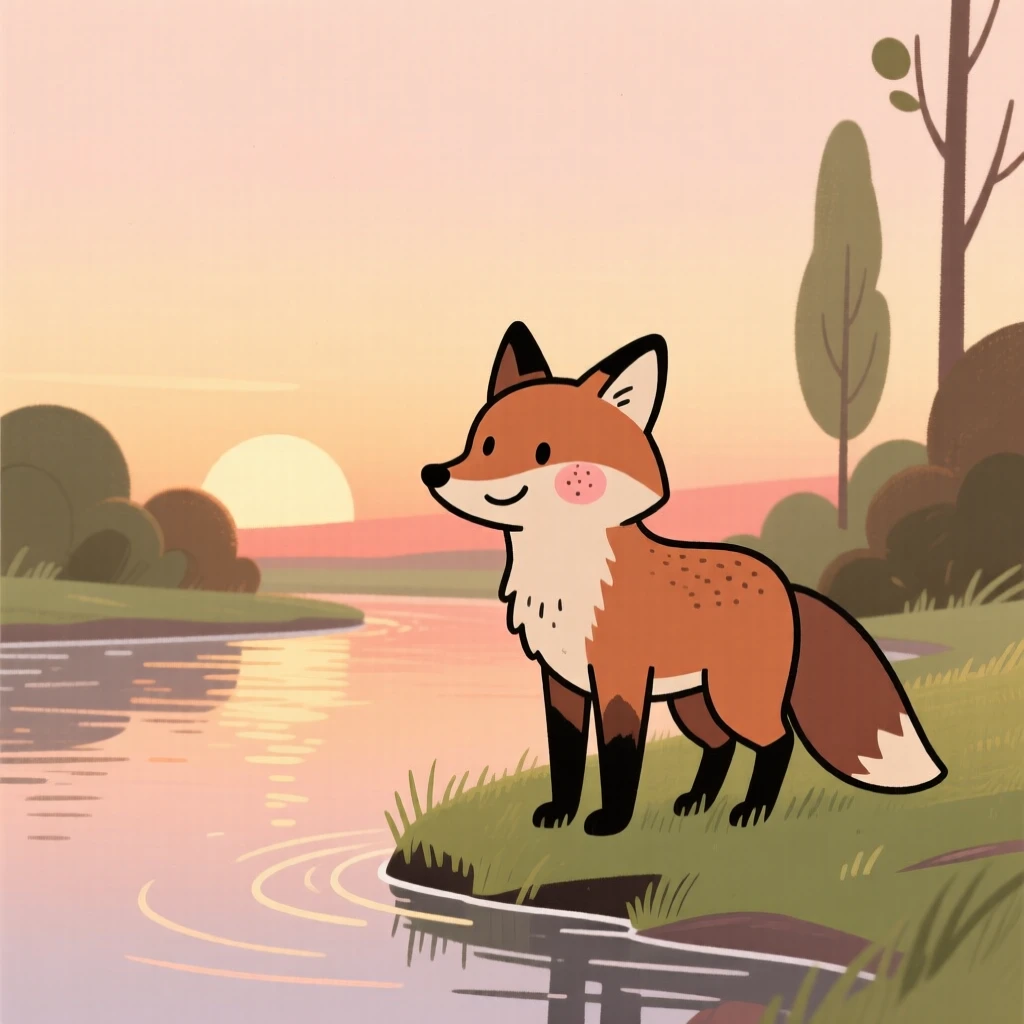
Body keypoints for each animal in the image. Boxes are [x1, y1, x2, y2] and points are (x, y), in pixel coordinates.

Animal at [420, 321, 947, 837]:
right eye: (482, 443)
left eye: (543, 451)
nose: (434, 473)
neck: (567, 573)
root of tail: (786, 583)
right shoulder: (560, 680)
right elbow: (565, 755)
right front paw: (559, 813)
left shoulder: (621, 681)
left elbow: (619, 757)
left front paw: (611, 823)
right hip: (694, 703)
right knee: (720, 744)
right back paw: (696, 802)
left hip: (734, 698)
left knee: (777, 741)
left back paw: (753, 811)